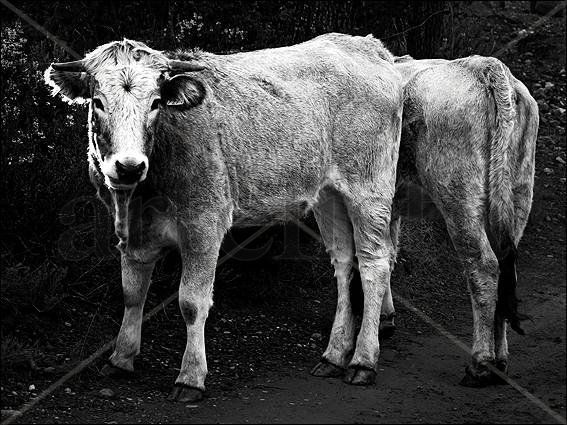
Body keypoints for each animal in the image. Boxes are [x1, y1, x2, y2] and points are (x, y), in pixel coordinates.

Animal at [46, 34, 406, 400]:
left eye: (156, 103)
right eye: (98, 102)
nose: (129, 166)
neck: (143, 194)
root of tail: (366, 46)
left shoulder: (204, 223)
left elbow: (191, 301)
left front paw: (190, 376)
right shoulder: (134, 231)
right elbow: (132, 294)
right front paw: (121, 358)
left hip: (369, 188)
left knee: (374, 264)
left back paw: (363, 360)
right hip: (329, 196)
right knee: (345, 263)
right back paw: (333, 355)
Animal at [384, 54, 540, 386]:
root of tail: (482, 66)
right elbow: (385, 254)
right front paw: (384, 319)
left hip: (459, 198)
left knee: (484, 267)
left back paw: (481, 363)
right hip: (517, 193)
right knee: (506, 267)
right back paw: (500, 359)